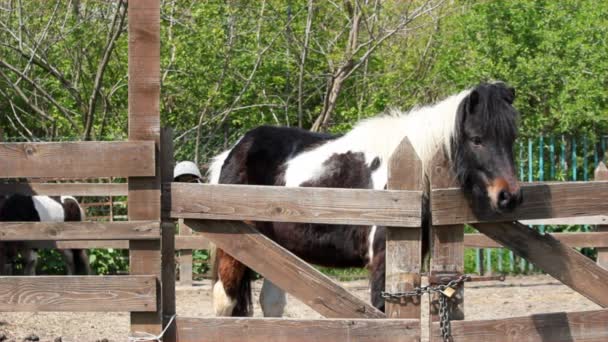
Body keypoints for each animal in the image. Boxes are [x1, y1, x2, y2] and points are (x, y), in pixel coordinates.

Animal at [205, 81, 524, 316]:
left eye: (512, 138)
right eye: (477, 139)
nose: (509, 197)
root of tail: (233, 152)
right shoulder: (382, 263)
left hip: (272, 251)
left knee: (271, 304)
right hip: (236, 252)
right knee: (226, 303)